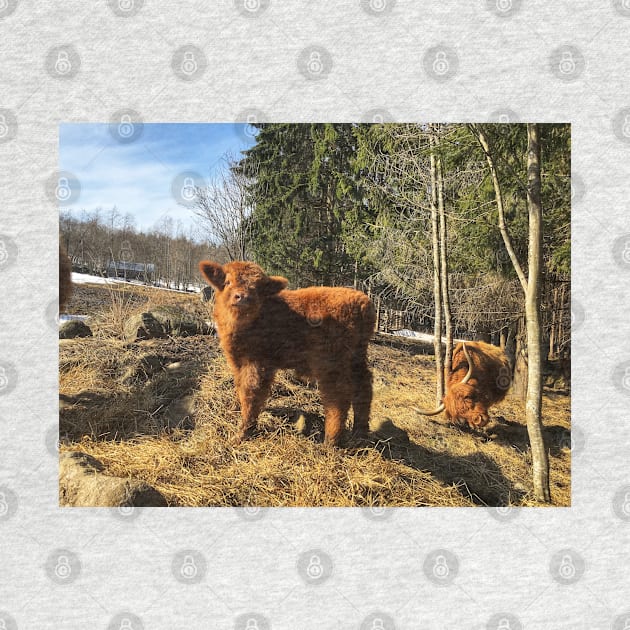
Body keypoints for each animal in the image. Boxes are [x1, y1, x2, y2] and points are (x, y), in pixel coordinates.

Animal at [199, 260, 376, 446]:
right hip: (356, 359)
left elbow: (251, 392)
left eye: (258, 288)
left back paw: (331, 440)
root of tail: (363, 302)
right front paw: (234, 408)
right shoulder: (237, 361)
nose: (242, 297)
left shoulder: (257, 364)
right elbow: (239, 386)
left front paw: (243, 433)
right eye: (227, 282)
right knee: (363, 387)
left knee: (338, 397)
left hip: (331, 364)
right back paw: (360, 433)